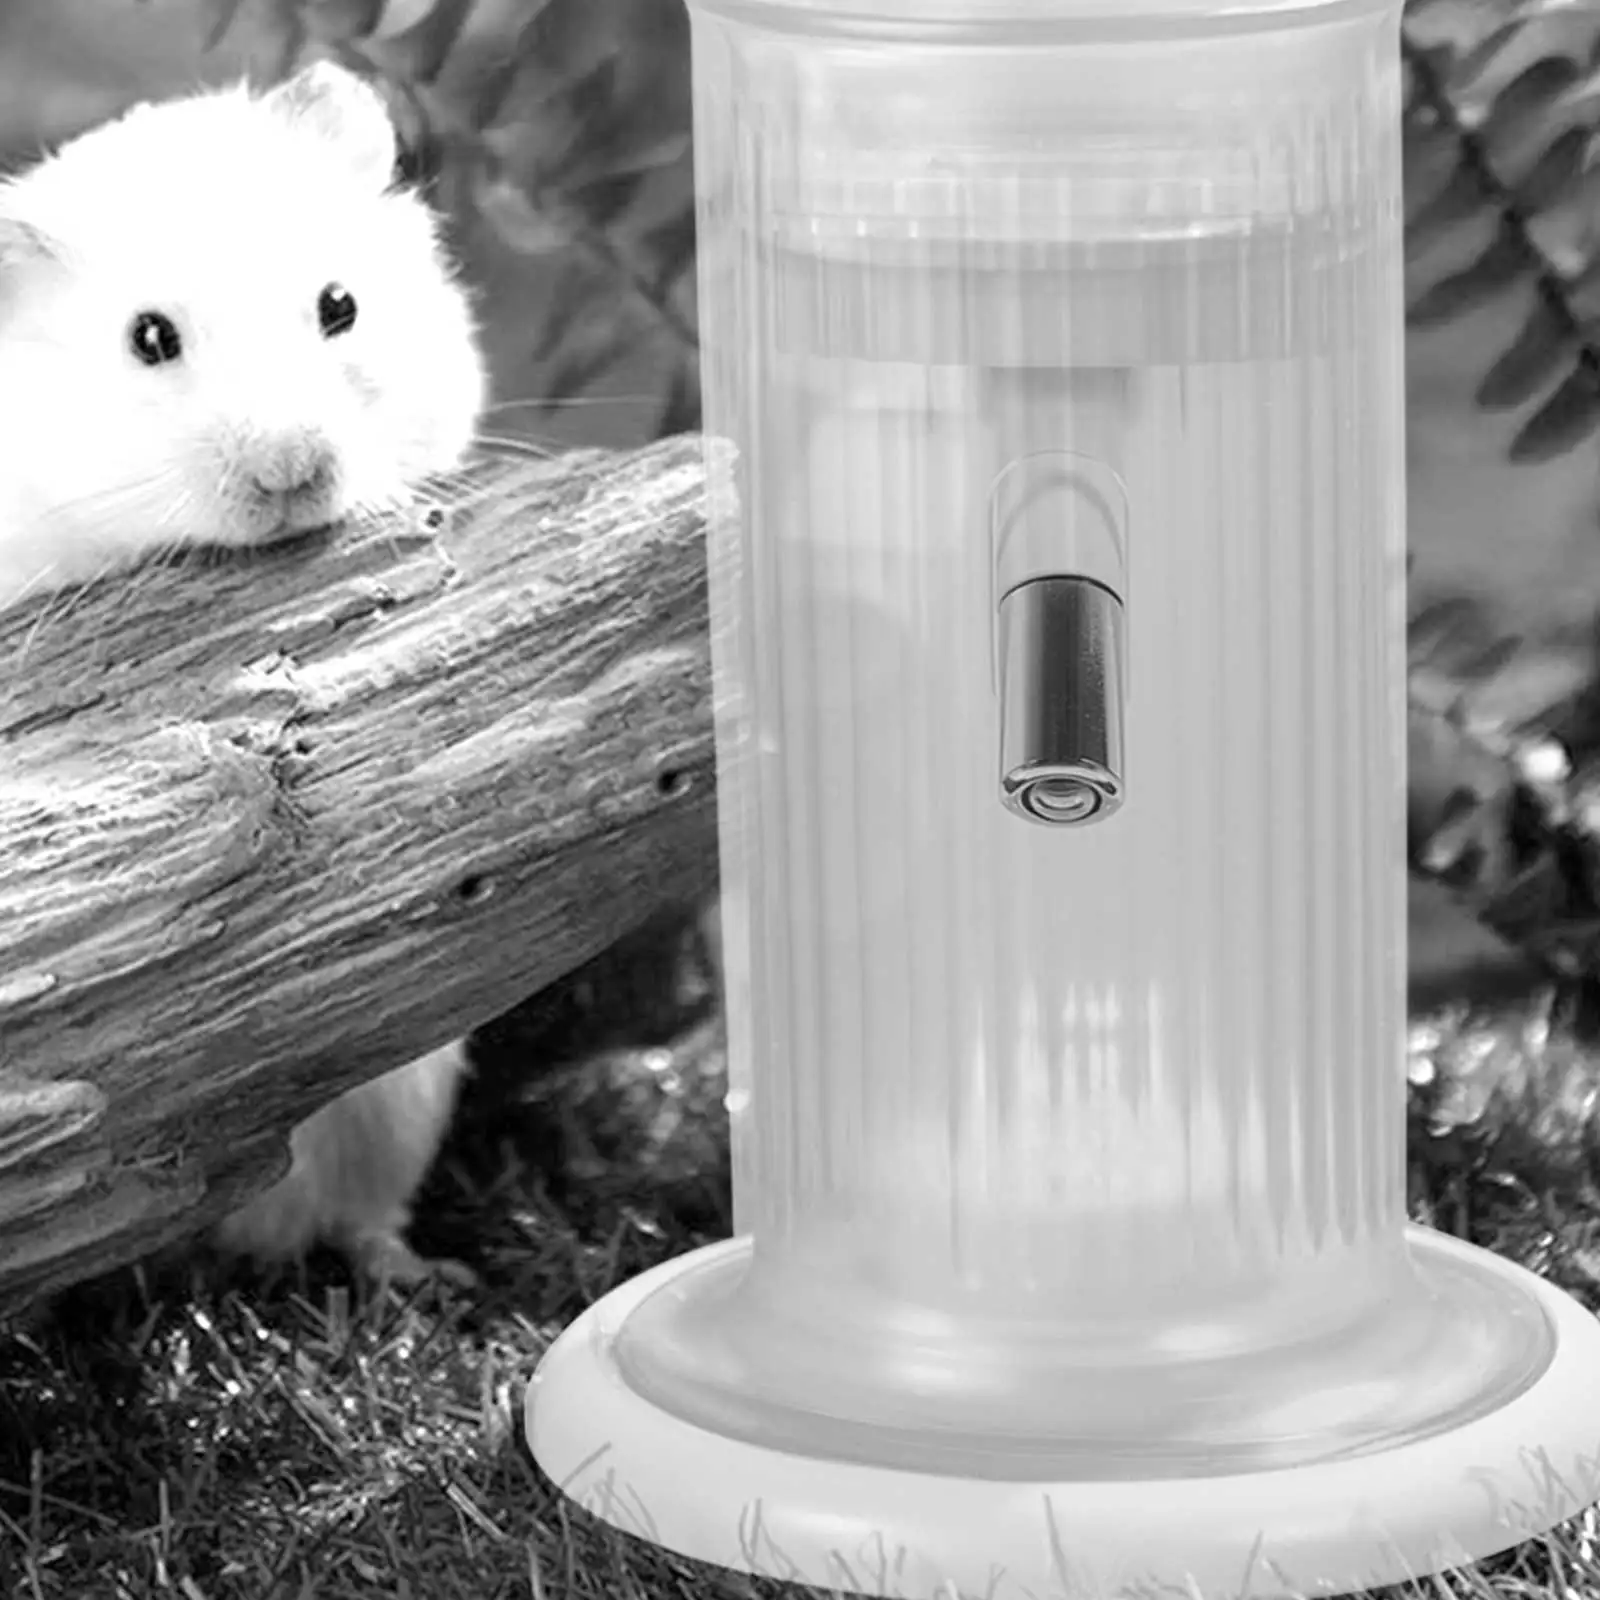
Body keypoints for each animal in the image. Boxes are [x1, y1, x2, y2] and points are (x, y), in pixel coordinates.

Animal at [0, 62, 487, 1285]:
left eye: (340, 306)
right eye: (149, 338)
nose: (294, 473)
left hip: (400, 1098)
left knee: (359, 1216)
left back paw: (424, 1275)